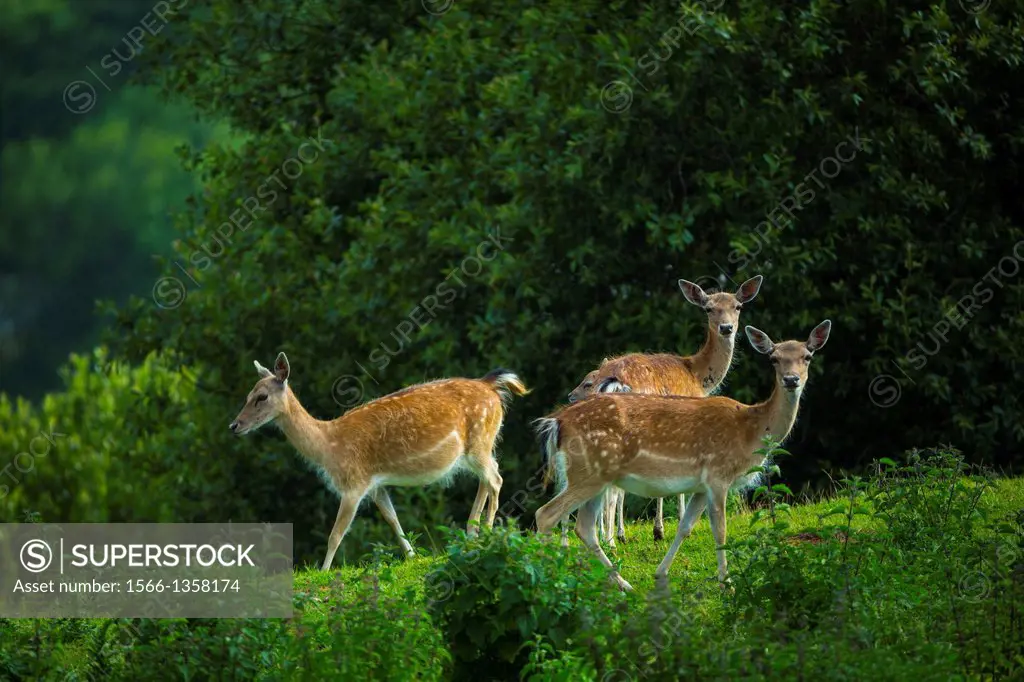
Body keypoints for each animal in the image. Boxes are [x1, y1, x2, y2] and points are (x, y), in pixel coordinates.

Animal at [231, 350, 528, 569]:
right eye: (247, 395)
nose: (234, 425)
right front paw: (412, 556)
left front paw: (323, 571)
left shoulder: (354, 483)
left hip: (480, 441)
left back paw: (485, 531)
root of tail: (491, 386)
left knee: (495, 478)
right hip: (478, 447)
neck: (329, 446)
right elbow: (392, 519)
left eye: (261, 396)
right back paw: (472, 532)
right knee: (488, 478)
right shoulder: (376, 485)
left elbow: (335, 535)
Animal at [536, 319, 831, 589]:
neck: (751, 429)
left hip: (595, 477)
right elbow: (720, 531)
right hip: (588, 473)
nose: (791, 380)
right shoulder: (718, 475)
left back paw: (624, 585)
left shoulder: (701, 485)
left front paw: (660, 573)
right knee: (546, 514)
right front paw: (727, 583)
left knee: (584, 527)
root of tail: (557, 423)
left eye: (807, 356)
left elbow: (685, 527)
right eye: (774, 358)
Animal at [565, 274, 765, 544]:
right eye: (708, 308)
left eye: (738, 306)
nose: (726, 328)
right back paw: (611, 539)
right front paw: (665, 527)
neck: (697, 375)